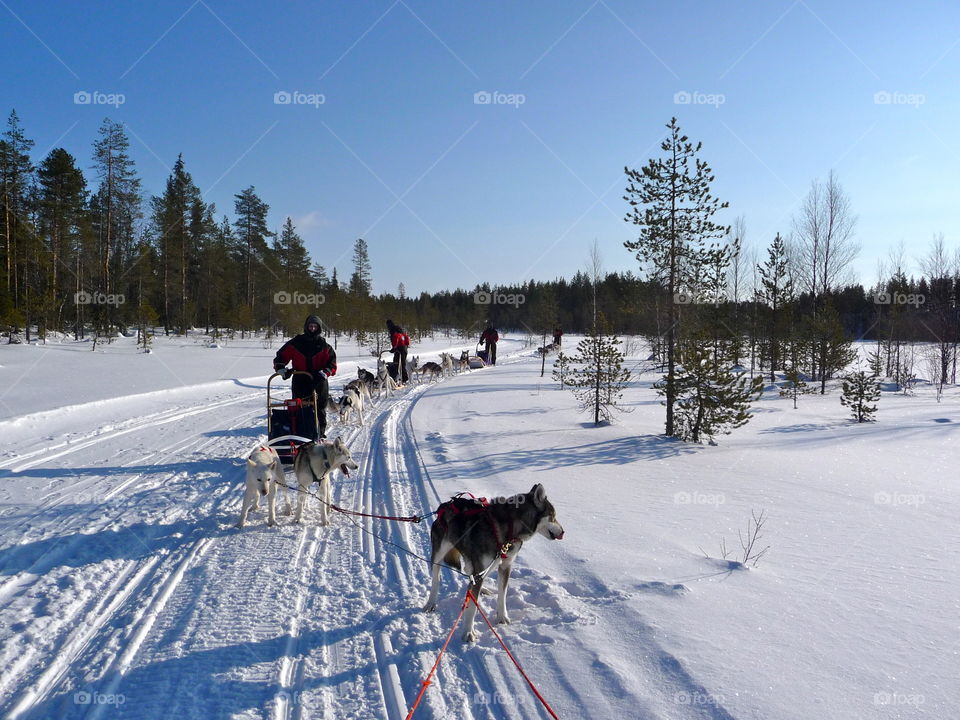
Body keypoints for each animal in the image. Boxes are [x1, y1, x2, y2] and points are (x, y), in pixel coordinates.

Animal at [424, 484, 568, 640]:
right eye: (553, 517)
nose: (563, 532)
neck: (510, 526)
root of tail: (445, 505)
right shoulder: (481, 568)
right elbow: (472, 607)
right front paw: (468, 632)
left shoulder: (505, 566)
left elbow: (502, 594)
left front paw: (502, 617)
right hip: (439, 555)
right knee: (436, 579)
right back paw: (430, 603)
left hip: (485, 563)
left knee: (471, 576)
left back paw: (481, 589)